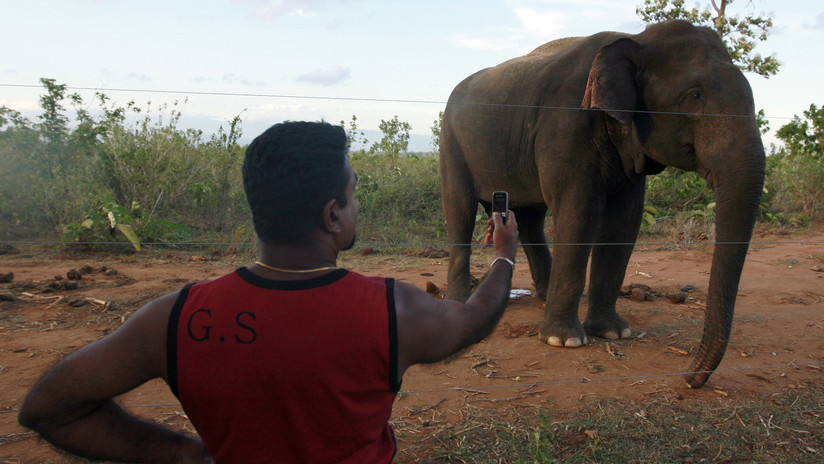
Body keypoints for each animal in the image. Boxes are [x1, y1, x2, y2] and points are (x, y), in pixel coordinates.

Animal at [439, 19, 765, 388]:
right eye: (695, 95)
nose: (690, 378)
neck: (635, 40)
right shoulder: (566, 126)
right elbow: (579, 212)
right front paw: (564, 340)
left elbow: (624, 222)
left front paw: (613, 333)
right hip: (451, 143)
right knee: (460, 209)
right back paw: (459, 300)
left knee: (531, 218)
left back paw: (545, 295)